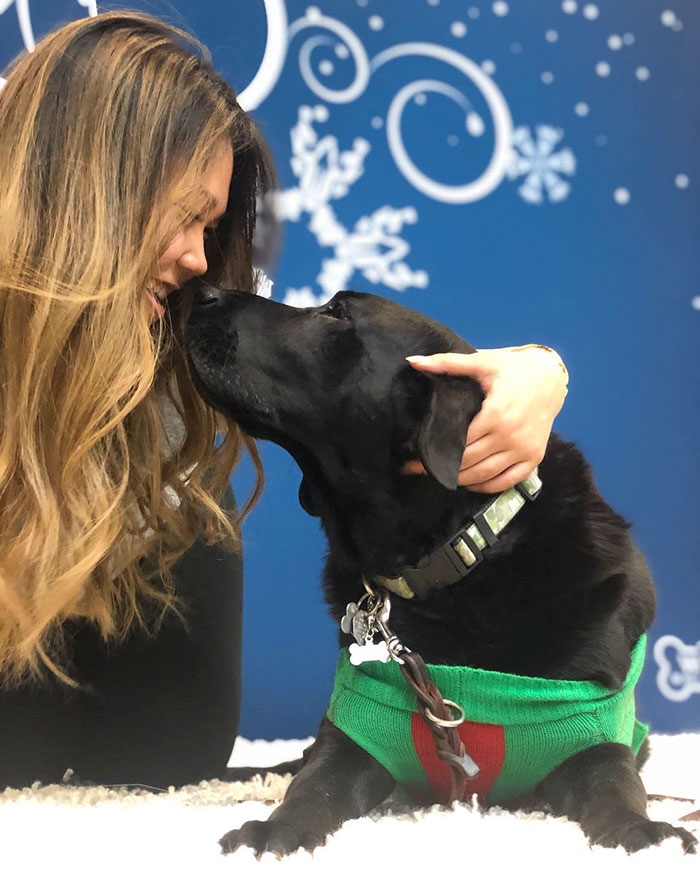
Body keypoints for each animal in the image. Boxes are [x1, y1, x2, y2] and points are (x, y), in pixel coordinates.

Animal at [183, 286, 696, 856]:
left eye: (336, 313)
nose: (203, 292)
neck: (454, 556)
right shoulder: (357, 731)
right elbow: (313, 785)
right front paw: (278, 827)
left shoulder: (589, 731)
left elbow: (616, 783)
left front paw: (640, 832)